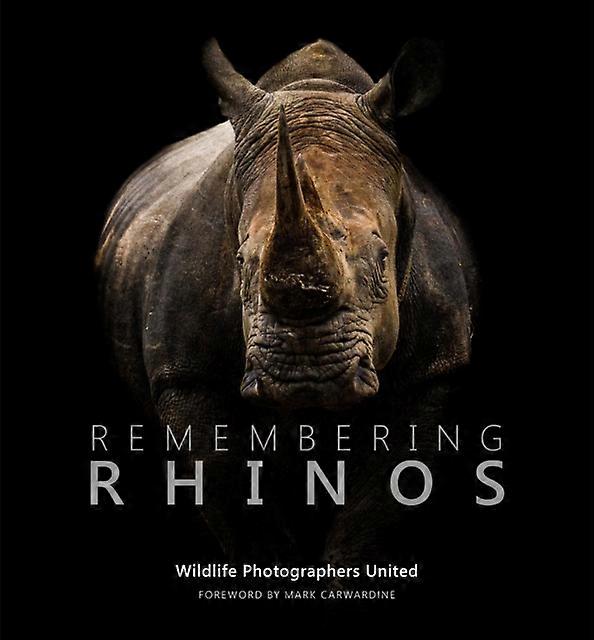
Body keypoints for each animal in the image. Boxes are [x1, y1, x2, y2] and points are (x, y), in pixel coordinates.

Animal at [96, 38, 477, 562]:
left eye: (383, 259)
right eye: (239, 263)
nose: (306, 377)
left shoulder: (434, 373)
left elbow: (370, 518)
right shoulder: (188, 379)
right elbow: (245, 518)